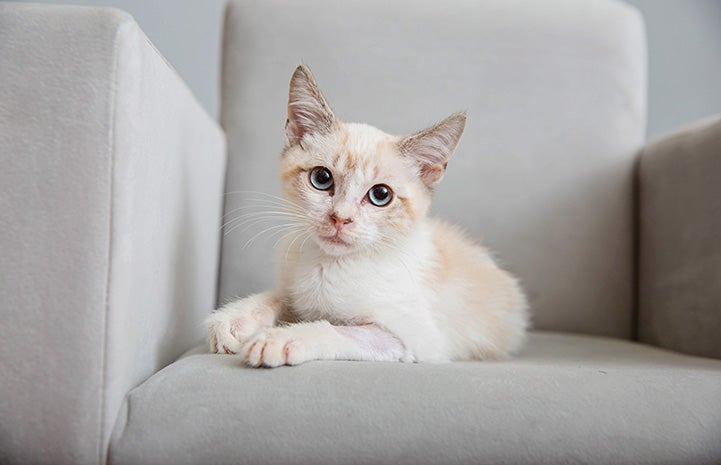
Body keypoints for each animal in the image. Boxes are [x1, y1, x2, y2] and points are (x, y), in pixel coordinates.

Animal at [205, 64, 524, 366]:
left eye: (381, 195)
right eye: (321, 178)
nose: (340, 218)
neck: (329, 266)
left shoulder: (413, 338)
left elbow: (336, 329)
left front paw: (280, 338)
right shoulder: (294, 289)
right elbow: (279, 296)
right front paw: (234, 318)